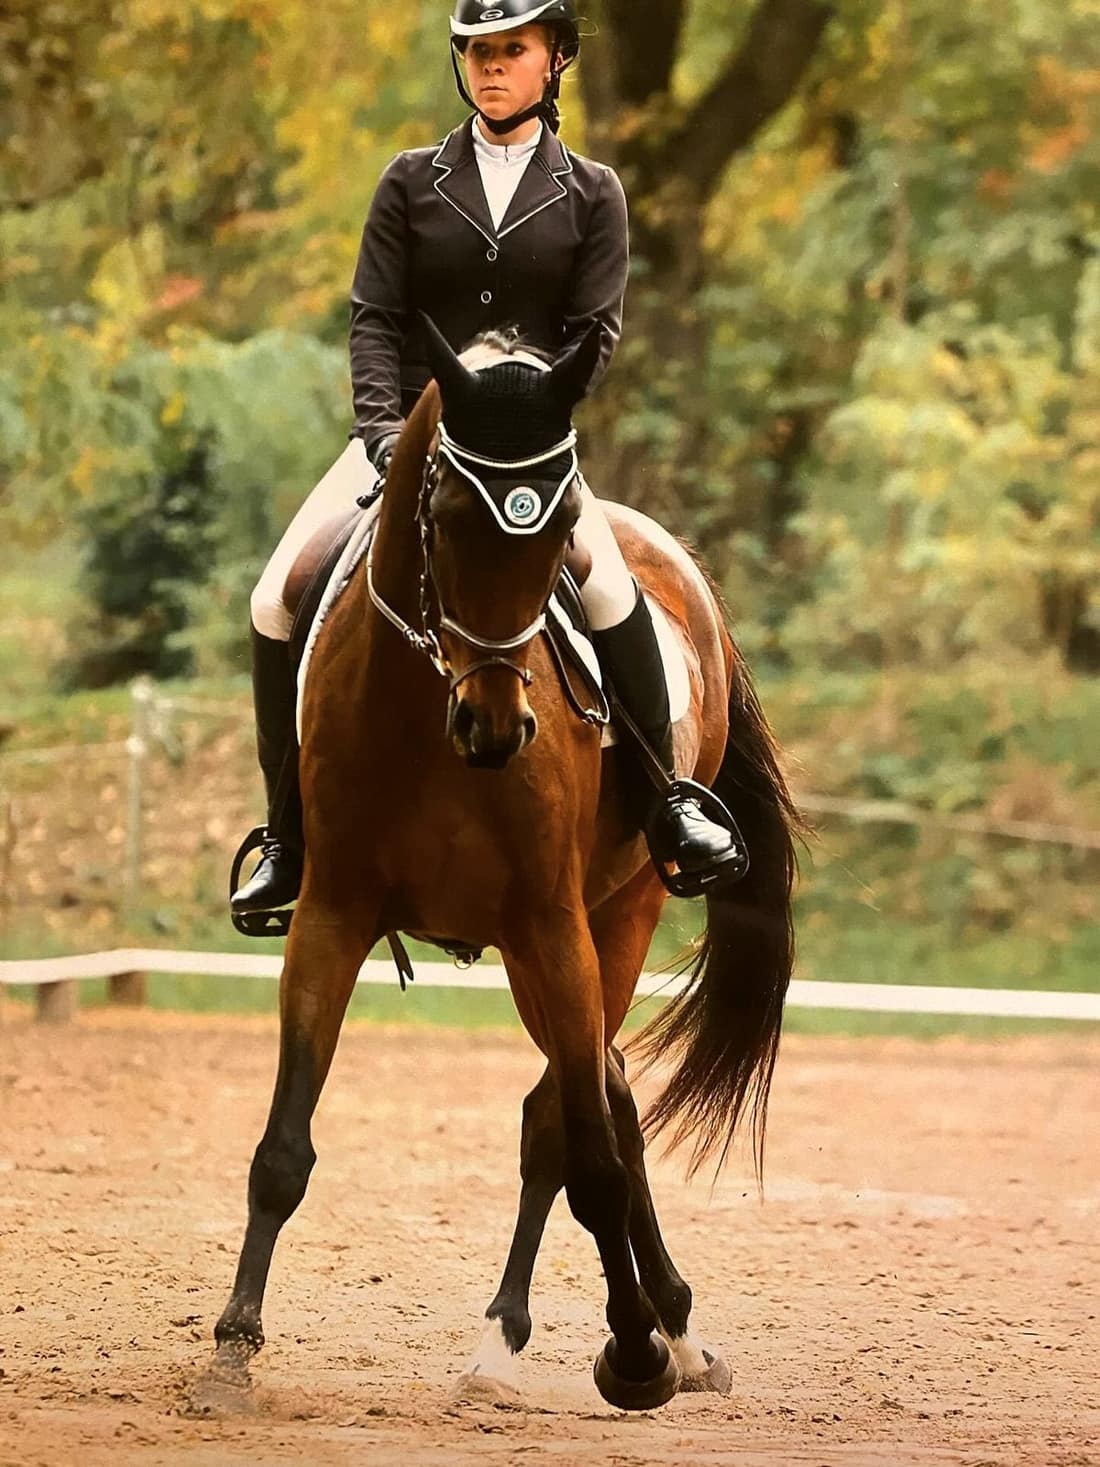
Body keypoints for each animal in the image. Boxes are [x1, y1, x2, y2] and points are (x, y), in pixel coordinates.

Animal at [203, 320, 800, 1413]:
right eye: (441, 513)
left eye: (554, 529)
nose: (494, 725)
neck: (428, 718)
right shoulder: (331, 915)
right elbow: (282, 1146)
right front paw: (231, 1350)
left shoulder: (549, 924)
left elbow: (581, 1152)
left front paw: (633, 1355)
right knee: (604, 1092)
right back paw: (645, 1326)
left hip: (617, 912)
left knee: (572, 1111)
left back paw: (589, 1337)